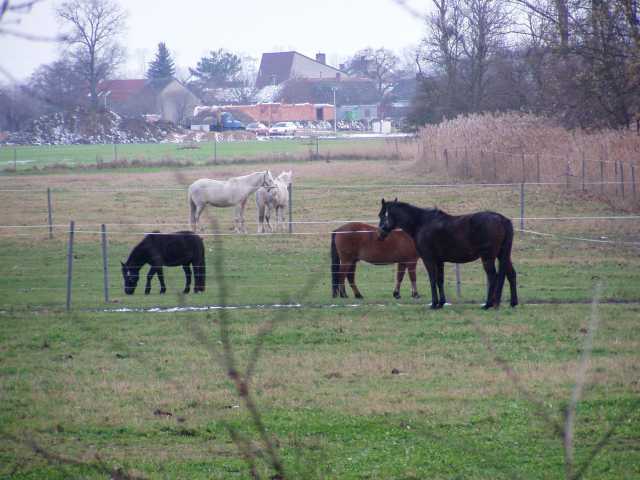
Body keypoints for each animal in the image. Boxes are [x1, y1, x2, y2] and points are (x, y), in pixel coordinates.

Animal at [378, 200, 516, 310]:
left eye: (382, 215)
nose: (380, 235)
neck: (421, 223)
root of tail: (502, 219)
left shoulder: (429, 259)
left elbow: (432, 279)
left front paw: (434, 304)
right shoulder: (439, 261)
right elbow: (440, 280)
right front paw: (441, 303)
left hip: (488, 257)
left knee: (493, 277)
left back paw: (488, 304)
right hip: (503, 255)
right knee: (511, 274)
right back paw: (512, 303)